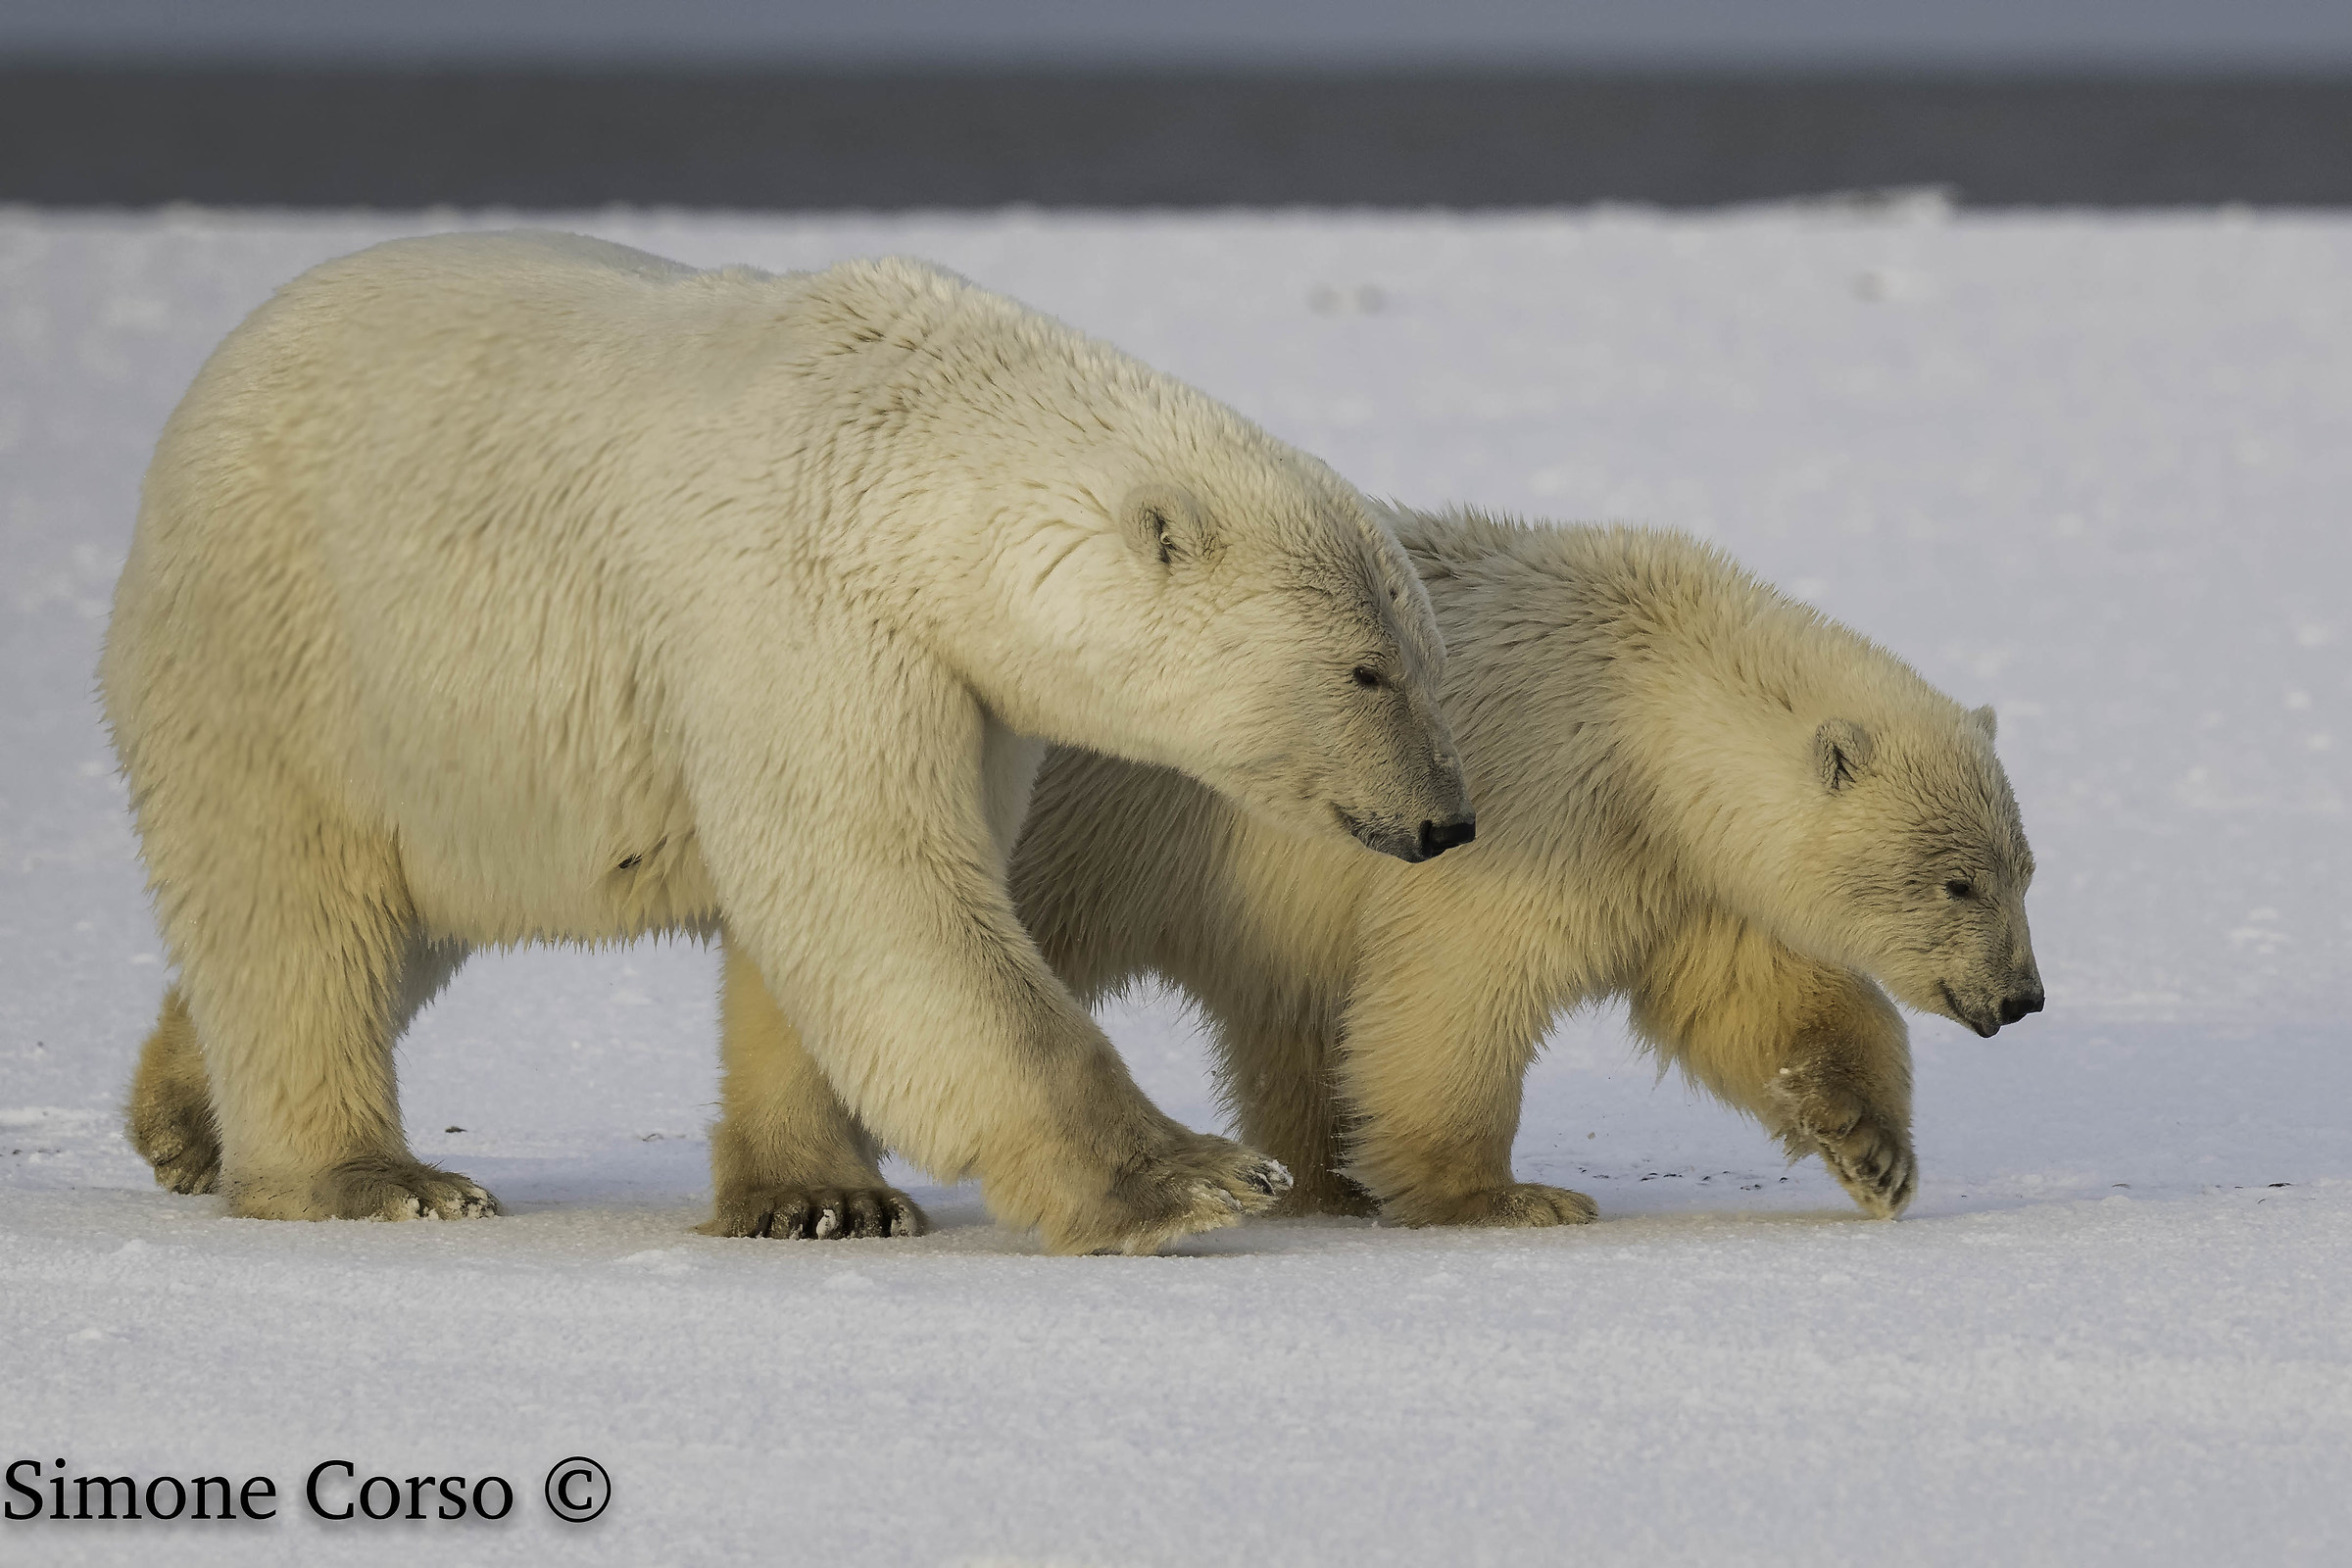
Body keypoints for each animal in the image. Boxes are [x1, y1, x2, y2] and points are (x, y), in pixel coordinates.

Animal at [102, 232, 1475, 1256]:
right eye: (1367, 670)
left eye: (1428, 659)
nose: (1448, 819)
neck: (912, 464)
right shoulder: (801, 608)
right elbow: (877, 891)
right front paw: (1198, 1179)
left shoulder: (965, 690)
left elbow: (830, 921)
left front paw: (824, 1197)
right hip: (292, 643)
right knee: (298, 904)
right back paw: (376, 1177)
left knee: (398, 918)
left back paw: (184, 1114)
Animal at [1006, 505, 2045, 1226]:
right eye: (1957, 881)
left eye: (2026, 871)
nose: (2022, 997)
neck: (1643, 706)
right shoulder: (1530, 809)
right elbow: (1457, 985)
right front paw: (1509, 1198)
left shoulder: (1680, 871)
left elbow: (1758, 997)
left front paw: (1874, 1153)